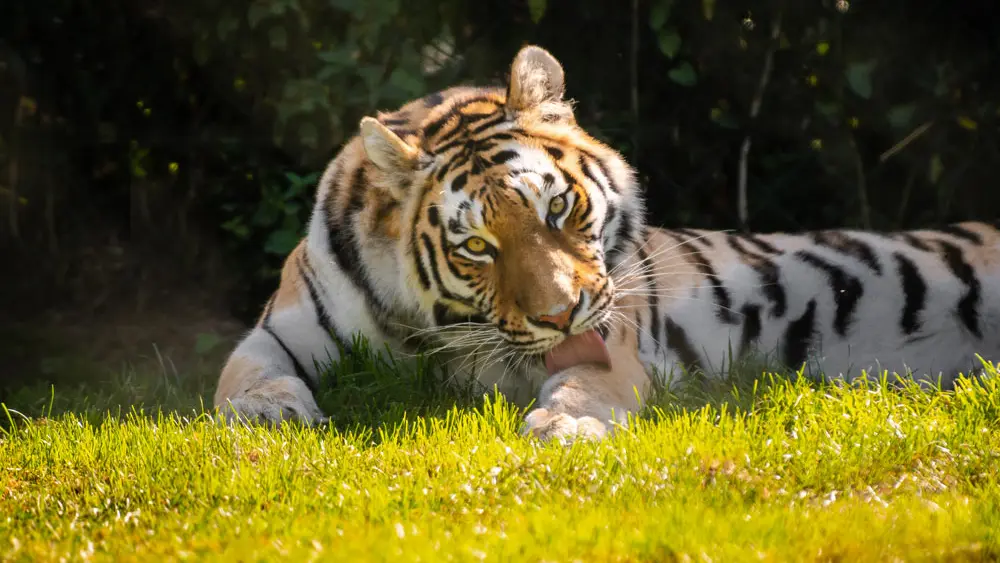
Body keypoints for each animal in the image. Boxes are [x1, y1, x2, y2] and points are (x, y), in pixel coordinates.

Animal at [214, 44, 1000, 441]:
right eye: (478, 248)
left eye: (558, 207)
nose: (561, 315)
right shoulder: (280, 327)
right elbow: (242, 371)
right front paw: (268, 411)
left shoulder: (610, 341)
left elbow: (584, 382)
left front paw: (566, 425)